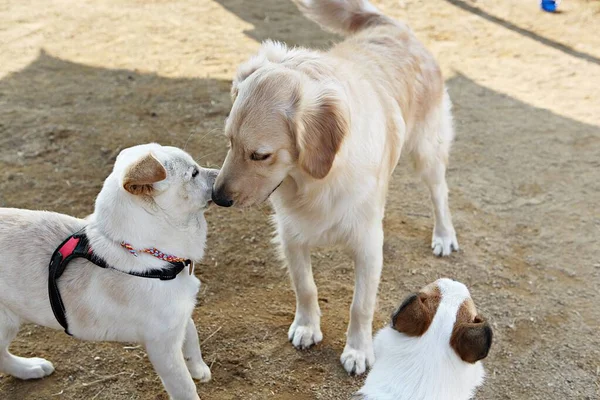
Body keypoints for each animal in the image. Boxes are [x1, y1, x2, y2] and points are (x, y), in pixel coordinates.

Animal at [0, 144, 216, 400]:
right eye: (193, 173)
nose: (221, 176)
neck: (147, 256)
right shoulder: (162, 346)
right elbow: (184, 387)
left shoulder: (179, 316)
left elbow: (192, 336)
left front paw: (199, 368)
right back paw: (28, 367)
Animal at [213, 0, 458, 376]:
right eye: (229, 142)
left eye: (260, 155)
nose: (217, 197)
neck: (316, 181)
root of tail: (393, 28)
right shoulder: (291, 235)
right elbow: (305, 287)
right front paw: (307, 326)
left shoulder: (368, 245)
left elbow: (361, 306)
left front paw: (358, 350)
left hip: (426, 152)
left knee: (439, 193)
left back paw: (444, 235)